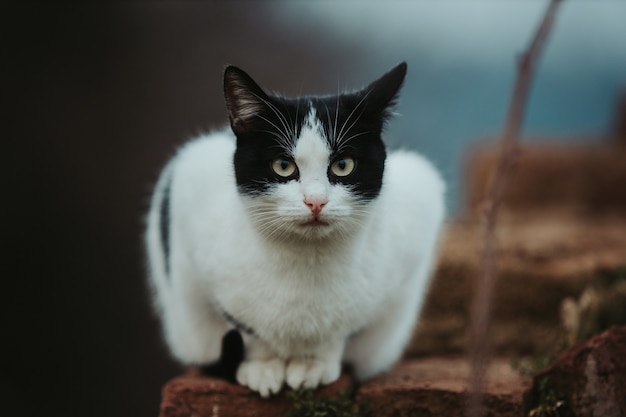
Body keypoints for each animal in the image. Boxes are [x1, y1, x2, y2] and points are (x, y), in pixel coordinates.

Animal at [144, 62, 444, 396]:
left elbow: (343, 330)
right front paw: (263, 367)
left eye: (343, 165)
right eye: (283, 166)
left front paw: (313, 365)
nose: (315, 202)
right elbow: (245, 328)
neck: (306, 262)